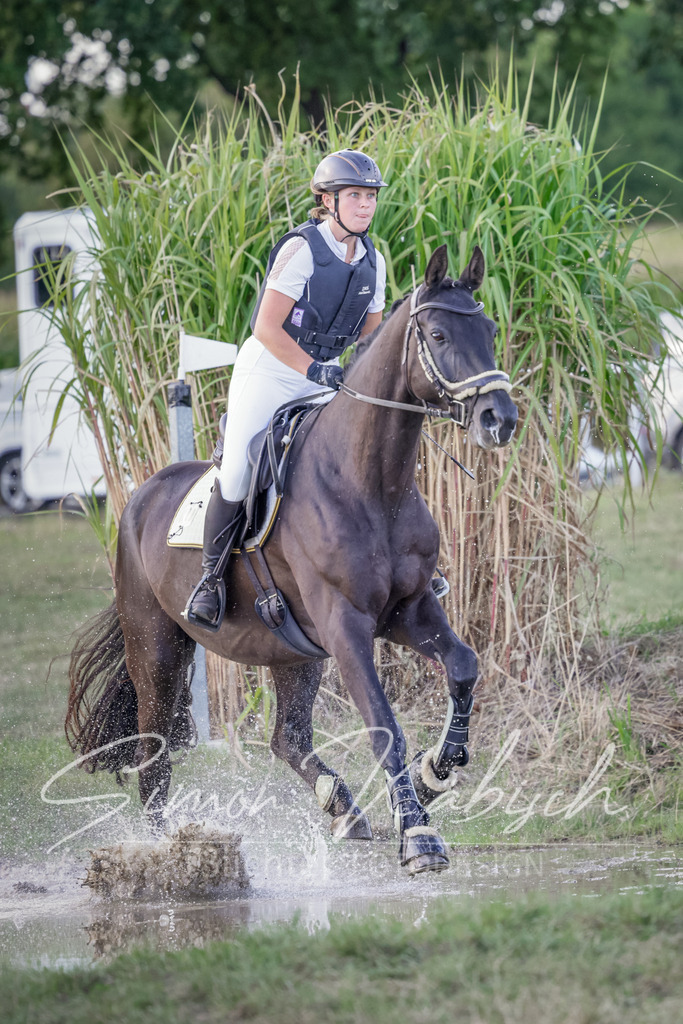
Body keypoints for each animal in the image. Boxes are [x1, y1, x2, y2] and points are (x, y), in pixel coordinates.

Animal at [66, 244, 518, 875]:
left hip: (292, 649)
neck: (370, 482)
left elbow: (463, 667)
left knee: (288, 738)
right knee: (154, 755)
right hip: (156, 648)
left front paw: (434, 775)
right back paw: (163, 853)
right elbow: (385, 728)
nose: (500, 419)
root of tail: (139, 497)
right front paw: (419, 836)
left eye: (491, 330)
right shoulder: (346, 624)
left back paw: (343, 809)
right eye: (437, 333)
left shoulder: (410, 610)